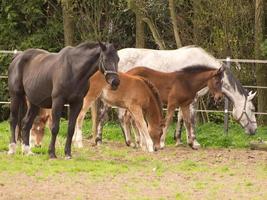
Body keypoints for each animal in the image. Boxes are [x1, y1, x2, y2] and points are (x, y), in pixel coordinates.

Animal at [73, 45, 258, 148]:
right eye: (252, 108)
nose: (254, 131)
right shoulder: (193, 99)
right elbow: (190, 119)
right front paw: (193, 141)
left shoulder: (184, 100)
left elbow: (181, 118)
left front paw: (178, 140)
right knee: (105, 115)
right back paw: (101, 140)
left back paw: (130, 141)